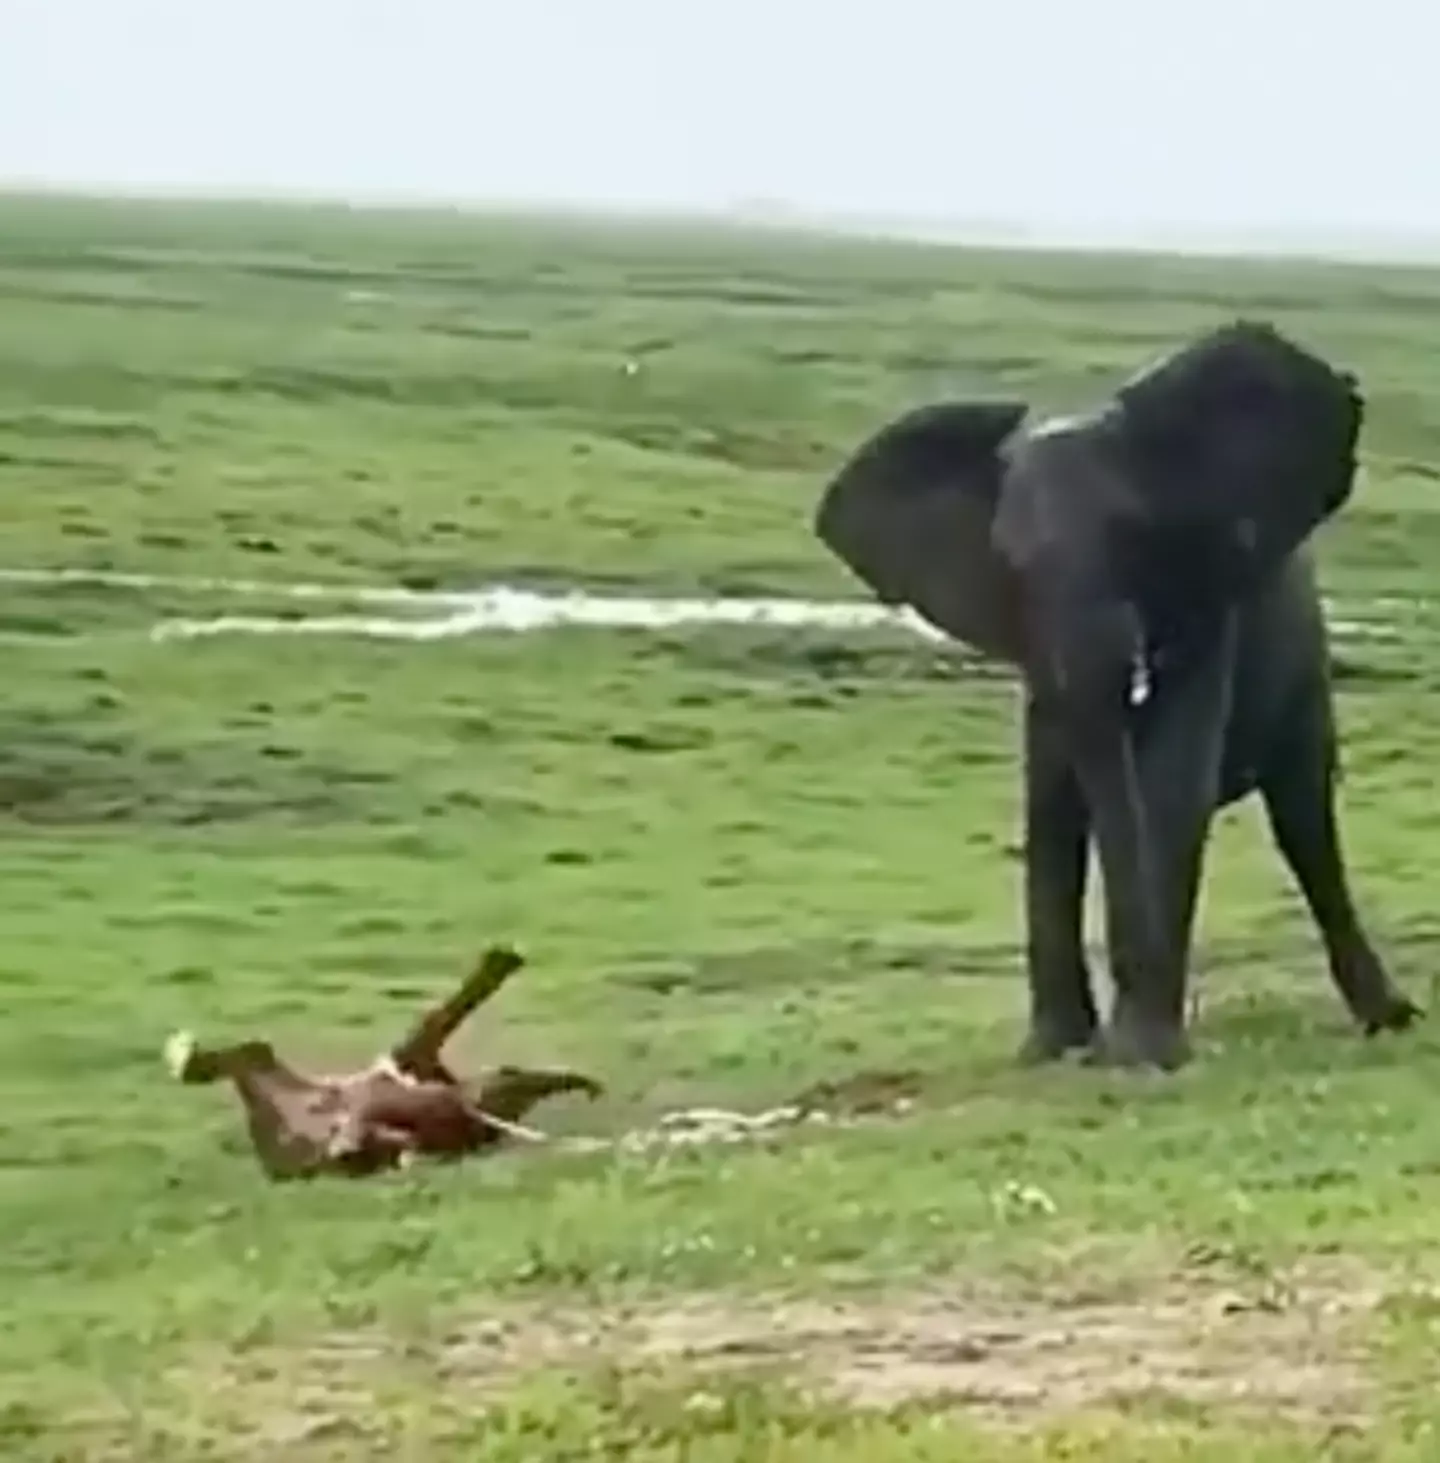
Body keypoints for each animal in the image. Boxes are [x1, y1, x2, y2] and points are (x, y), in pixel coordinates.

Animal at [813, 320, 1421, 1071]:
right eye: (1010, 563)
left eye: (1133, 538)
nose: (1112, 1050)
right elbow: (1051, 804)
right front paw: (1050, 1052)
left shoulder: (1207, 603)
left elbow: (1169, 782)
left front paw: (1143, 1057)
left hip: (1305, 664)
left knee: (1305, 818)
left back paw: (1390, 1020)